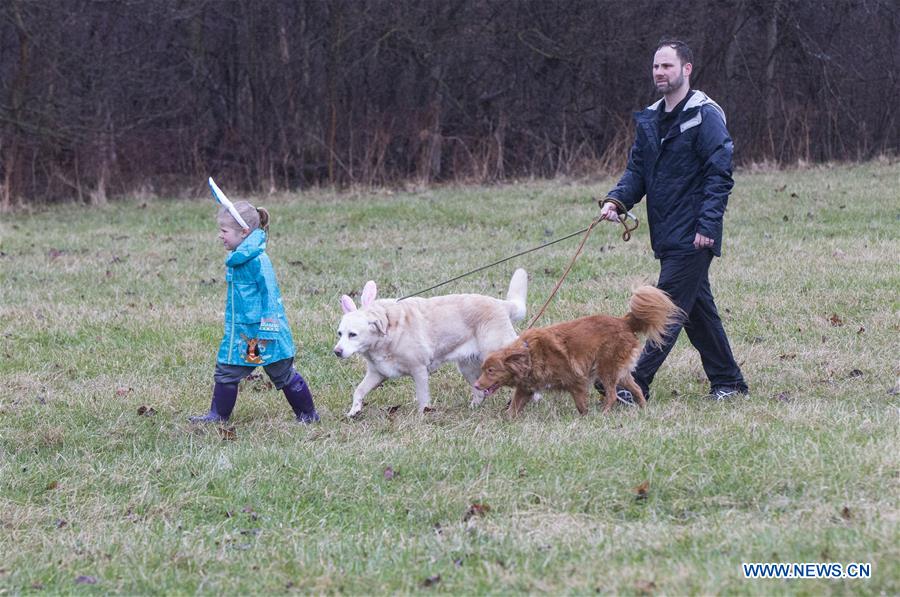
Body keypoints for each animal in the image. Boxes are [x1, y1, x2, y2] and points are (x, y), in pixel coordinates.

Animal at [332, 268, 528, 414]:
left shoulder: (419, 370)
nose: (337, 352)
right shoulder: (377, 373)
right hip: (468, 368)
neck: (388, 328)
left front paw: (423, 415)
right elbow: (358, 390)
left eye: (353, 334)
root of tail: (501, 304)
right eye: (339, 333)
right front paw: (354, 411)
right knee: (480, 393)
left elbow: (422, 398)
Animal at [474, 286, 680, 416]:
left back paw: (605, 413)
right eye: (482, 370)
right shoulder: (525, 388)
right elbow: (514, 408)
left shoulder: (576, 380)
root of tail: (624, 322)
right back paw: (643, 409)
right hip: (619, 372)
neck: (529, 354)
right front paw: (508, 419)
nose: (476, 385)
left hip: (606, 369)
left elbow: (581, 405)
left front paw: (585, 417)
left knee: (612, 395)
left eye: (491, 371)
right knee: (636, 388)